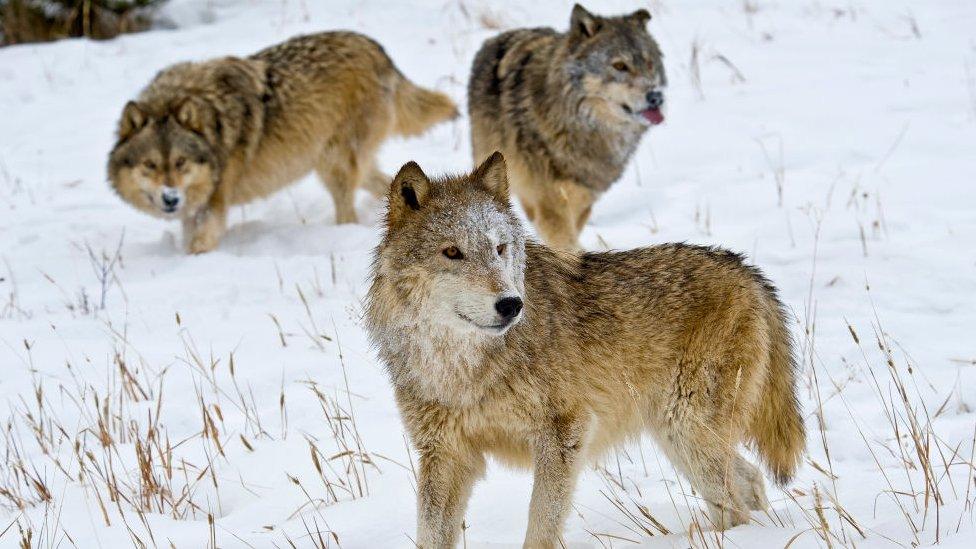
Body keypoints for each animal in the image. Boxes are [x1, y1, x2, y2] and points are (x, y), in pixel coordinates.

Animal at [107, 30, 458, 253]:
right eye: (150, 165)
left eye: (180, 163)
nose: (171, 199)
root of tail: (377, 49)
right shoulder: (194, 210)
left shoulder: (213, 208)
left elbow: (198, 246)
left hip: (333, 167)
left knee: (348, 208)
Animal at [362, 152, 804, 544]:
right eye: (452, 252)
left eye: (500, 248)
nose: (511, 305)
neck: (462, 368)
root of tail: (746, 268)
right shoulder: (445, 455)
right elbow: (430, 536)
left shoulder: (565, 433)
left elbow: (540, 529)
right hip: (679, 437)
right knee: (749, 483)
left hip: (686, 430)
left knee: (736, 502)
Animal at [468, 3, 668, 250]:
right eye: (620, 66)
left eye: (649, 64)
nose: (656, 96)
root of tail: (499, 36)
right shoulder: (550, 203)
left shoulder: (583, 198)